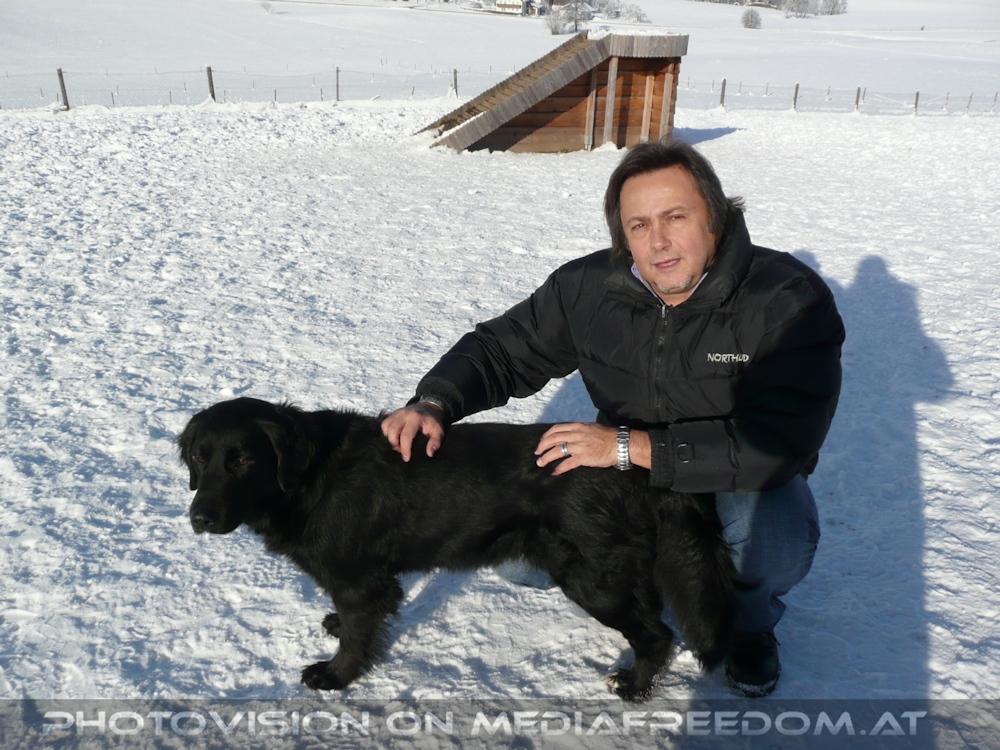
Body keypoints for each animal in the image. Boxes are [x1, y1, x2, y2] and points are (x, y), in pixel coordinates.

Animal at [178, 397, 736, 701]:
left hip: (591, 576)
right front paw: (334, 626)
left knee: (658, 635)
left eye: (244, 460)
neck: (310, 478)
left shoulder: (360, 578)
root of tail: (635, 462)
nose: (199, 519)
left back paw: (633, 687)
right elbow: (355, 621)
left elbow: (358, 636)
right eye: (200, 458)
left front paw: (335, 676)